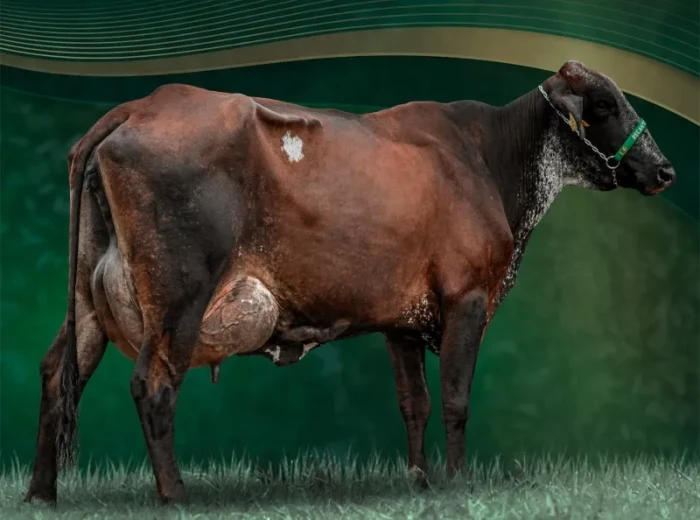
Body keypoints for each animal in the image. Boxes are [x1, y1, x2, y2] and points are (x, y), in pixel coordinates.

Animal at [24, 60, 675, 505]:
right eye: (603, 104)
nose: (666, 169)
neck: (491, 160)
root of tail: (145, 102)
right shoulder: (466, 298)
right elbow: (456, 399)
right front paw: (458, 483)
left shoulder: (402, 320)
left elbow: (414, 402)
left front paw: (419, 480)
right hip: (178, 295)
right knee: (153, 384)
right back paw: (177, 497)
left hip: (88, 299)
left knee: (57, 371)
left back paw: (41, 493)